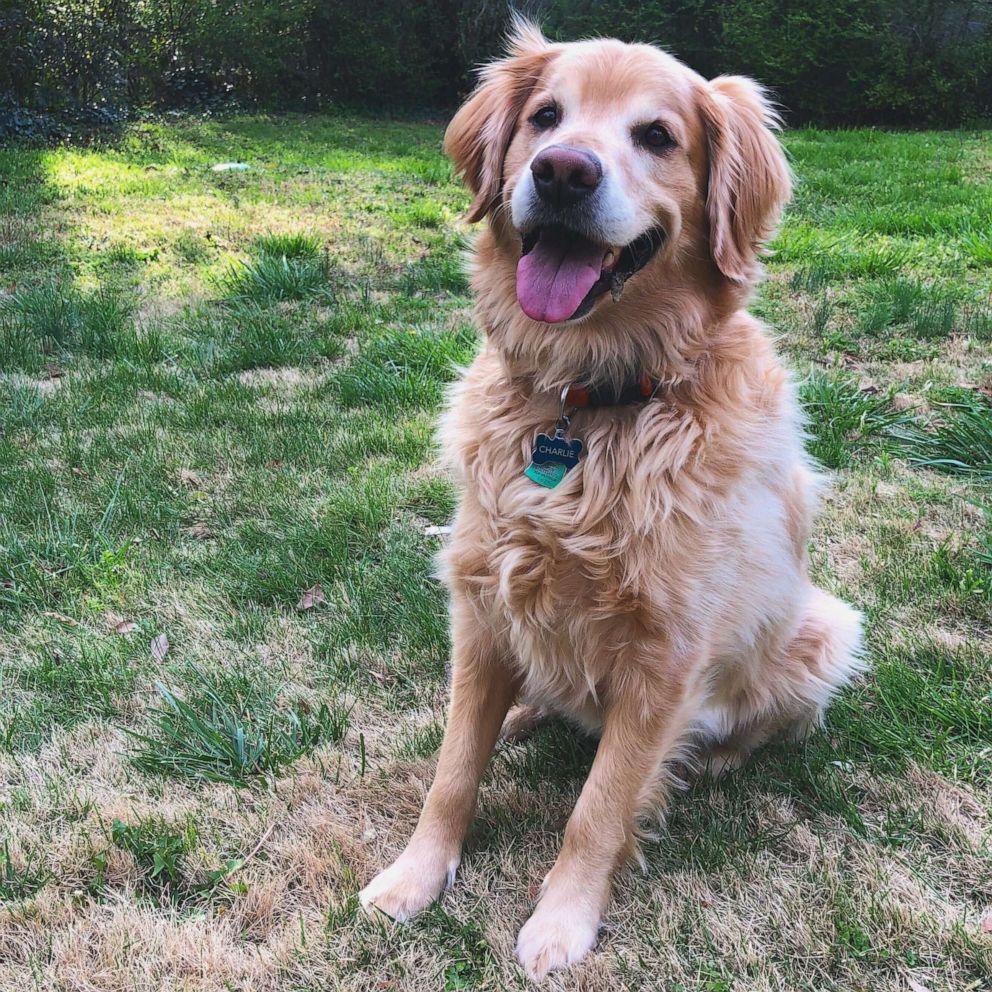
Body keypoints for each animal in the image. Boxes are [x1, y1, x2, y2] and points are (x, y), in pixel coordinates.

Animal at [356, 19, 860, 980]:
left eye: (658, 136)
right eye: (546, 117)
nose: (562, 171)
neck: (586, 403)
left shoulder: (665, 656)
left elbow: (598, 810)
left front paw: (562, 924)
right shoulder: (479, 605)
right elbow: (452, 770)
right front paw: (415, 875)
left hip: (827, 626)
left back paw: (709, 758)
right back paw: (524, 713)